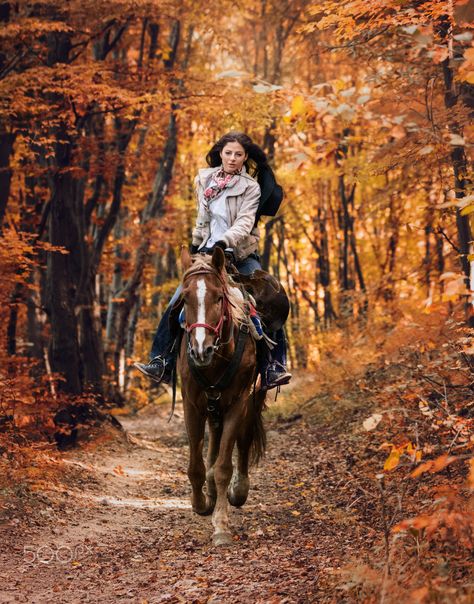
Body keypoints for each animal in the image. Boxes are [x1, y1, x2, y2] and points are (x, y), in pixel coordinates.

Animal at [178, 245, 266, 548]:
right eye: (184, 298)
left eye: (219, 297)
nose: (200, 350)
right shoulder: (191, 405)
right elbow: (195, 465)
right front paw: (201, 504)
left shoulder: (239, 403)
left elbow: (224, 467)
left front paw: (221, 527)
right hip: (212, 406)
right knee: (214, 440)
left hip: (252, 399)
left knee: (244, 439)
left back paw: (239, 489)